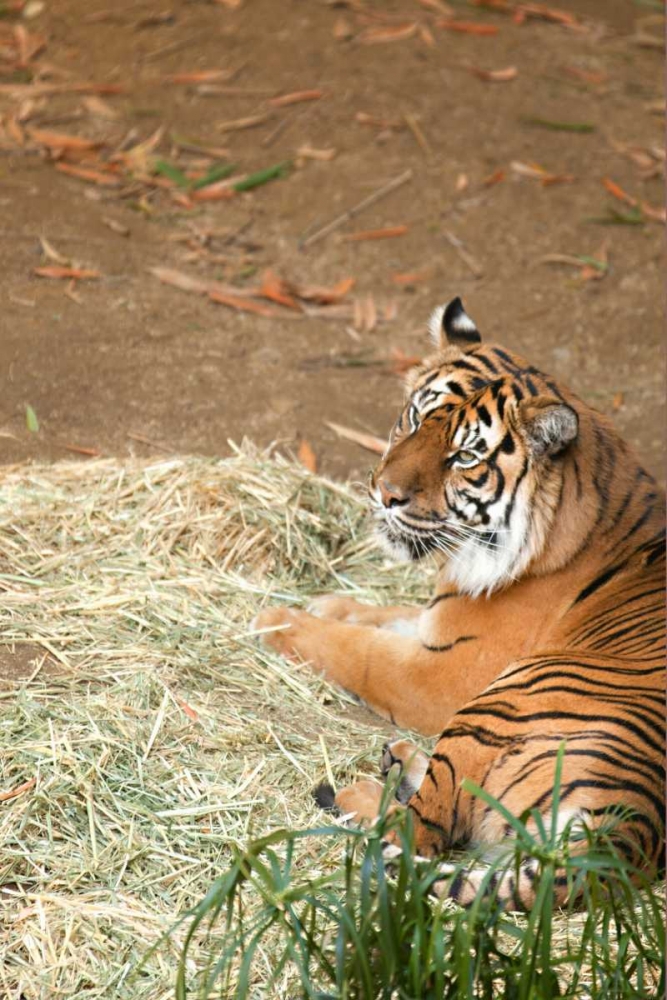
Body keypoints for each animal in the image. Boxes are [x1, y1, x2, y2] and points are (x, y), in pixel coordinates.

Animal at [254, 297, 665, 908]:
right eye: (414, 417)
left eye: (464, 456)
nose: (384, 493)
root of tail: (622, 832)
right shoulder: (441, 623)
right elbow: (381, 617)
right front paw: (328, 603)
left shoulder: (444, 672)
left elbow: (359, 650)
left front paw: (276, 620)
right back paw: (399, 760)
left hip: (501, 701)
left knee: (420, 829)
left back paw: (358, 795)